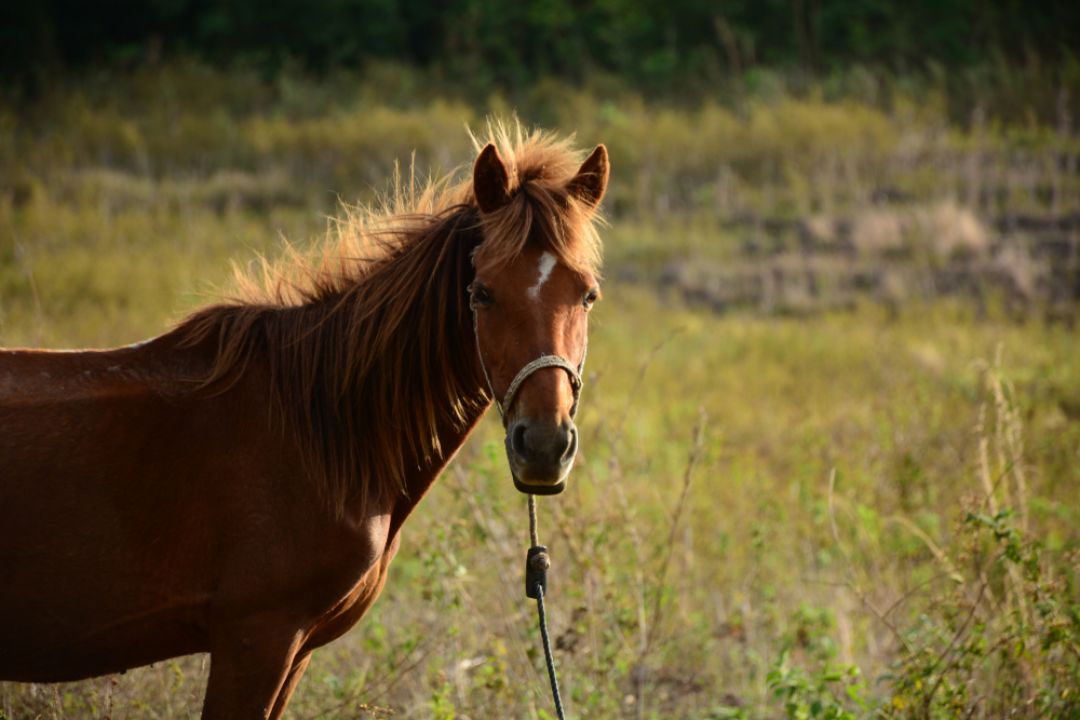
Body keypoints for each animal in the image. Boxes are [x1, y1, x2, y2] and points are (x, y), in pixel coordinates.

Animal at [0, 126, 609, 716]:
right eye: (482, 293)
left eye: (588, 295)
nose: (544, 445)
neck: (316, 428)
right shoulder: (257, 638)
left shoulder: (296, 651)